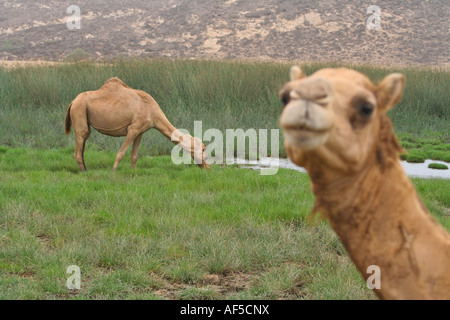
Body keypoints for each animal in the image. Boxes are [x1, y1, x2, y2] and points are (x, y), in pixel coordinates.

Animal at [64, 77, 209, 171]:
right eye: (203, 149)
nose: (207, 167)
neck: (153, 112)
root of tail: (72, 102)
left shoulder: (141, 131)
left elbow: (134, 156)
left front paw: (132, 173)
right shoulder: (133, 128)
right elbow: (120, 153)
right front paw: (113, 173)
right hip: (79, 111)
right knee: (80, 144)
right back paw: (85, 172)